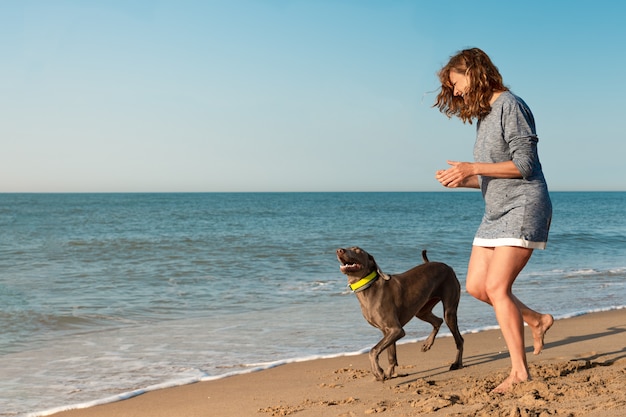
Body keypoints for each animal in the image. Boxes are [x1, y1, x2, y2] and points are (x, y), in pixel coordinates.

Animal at [334, 247, 460, 380]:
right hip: (422, 310)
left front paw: (378, 372)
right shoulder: (387, 331)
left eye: (357, 250)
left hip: (449, 310)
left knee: (459, 340)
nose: (339, 250)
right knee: (438, 321)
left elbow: (373, 350)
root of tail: (447, 266)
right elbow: (391, 355)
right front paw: (389, 374)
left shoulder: (396, 329)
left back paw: (457, 364)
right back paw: (427, 344)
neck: (369, 287)